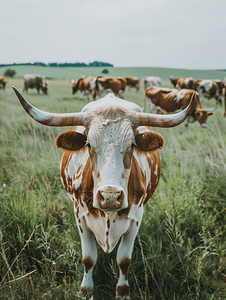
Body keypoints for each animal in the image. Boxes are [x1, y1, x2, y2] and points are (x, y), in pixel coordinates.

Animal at [12, 86, 194, 300]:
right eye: (89, 145)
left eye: (132, 145)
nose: (110, 196)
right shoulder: (81, 217)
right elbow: (88, 258)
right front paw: (86, 291)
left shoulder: (135, 219)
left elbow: (124, 260)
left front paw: (122, 292)